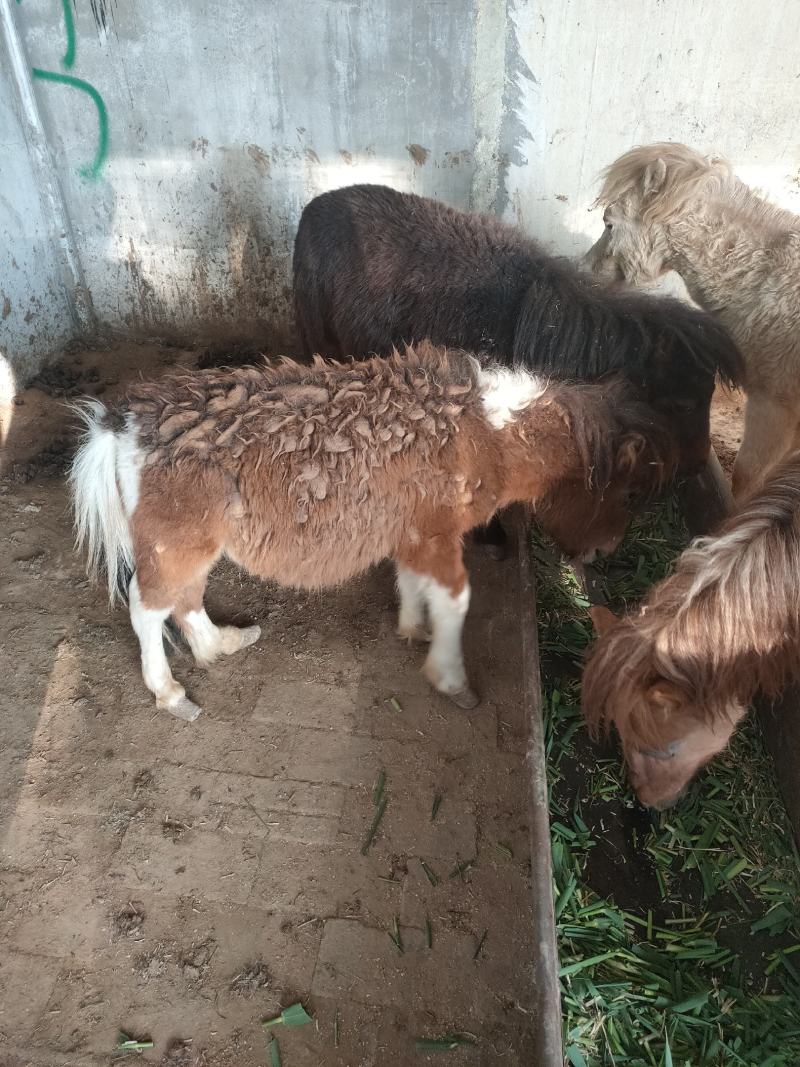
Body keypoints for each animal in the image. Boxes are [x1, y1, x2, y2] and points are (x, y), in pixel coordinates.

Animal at [70, 342, 676, 720]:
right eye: (626, 492)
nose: (605, 550)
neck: (487, 432)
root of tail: (122, 424)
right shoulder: (435, 536)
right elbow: (456, 600)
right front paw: (451, 677)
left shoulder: (414, 535)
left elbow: (412, 584)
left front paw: (414, 628)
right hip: (174, 545)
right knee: (147, 608)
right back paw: (170, 692)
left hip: (195, 547)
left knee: (185, 600)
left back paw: (221, 644)